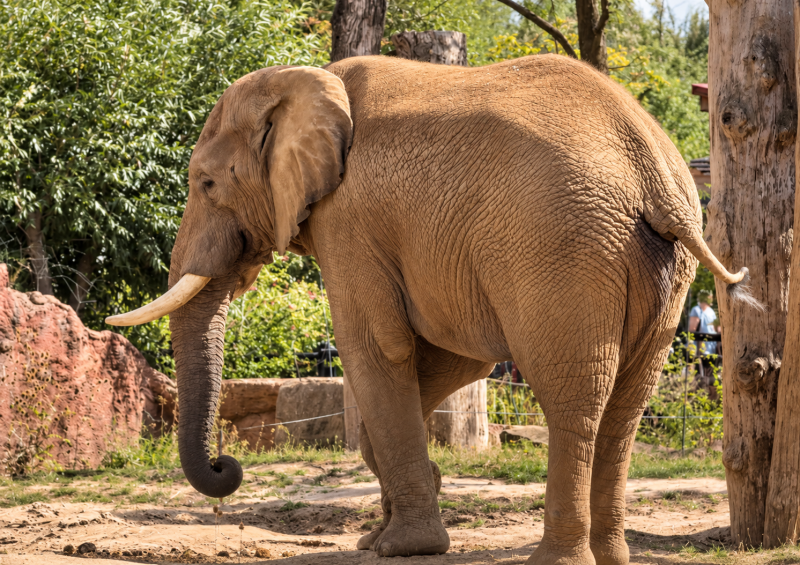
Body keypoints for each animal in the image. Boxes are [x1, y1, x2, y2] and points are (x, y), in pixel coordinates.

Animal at [108, 54, 755, 564]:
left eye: (206, 184)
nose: (227, 466)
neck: (308, 80)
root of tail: (654, 169)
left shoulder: (349, 220)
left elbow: (377, 348)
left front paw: (402, 547)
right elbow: (452, 359)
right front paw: (378, 536)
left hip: (563, 248)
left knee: (573, 399)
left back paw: (558, 559)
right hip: (656, 266)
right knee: (626, 405)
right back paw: (611, 556)